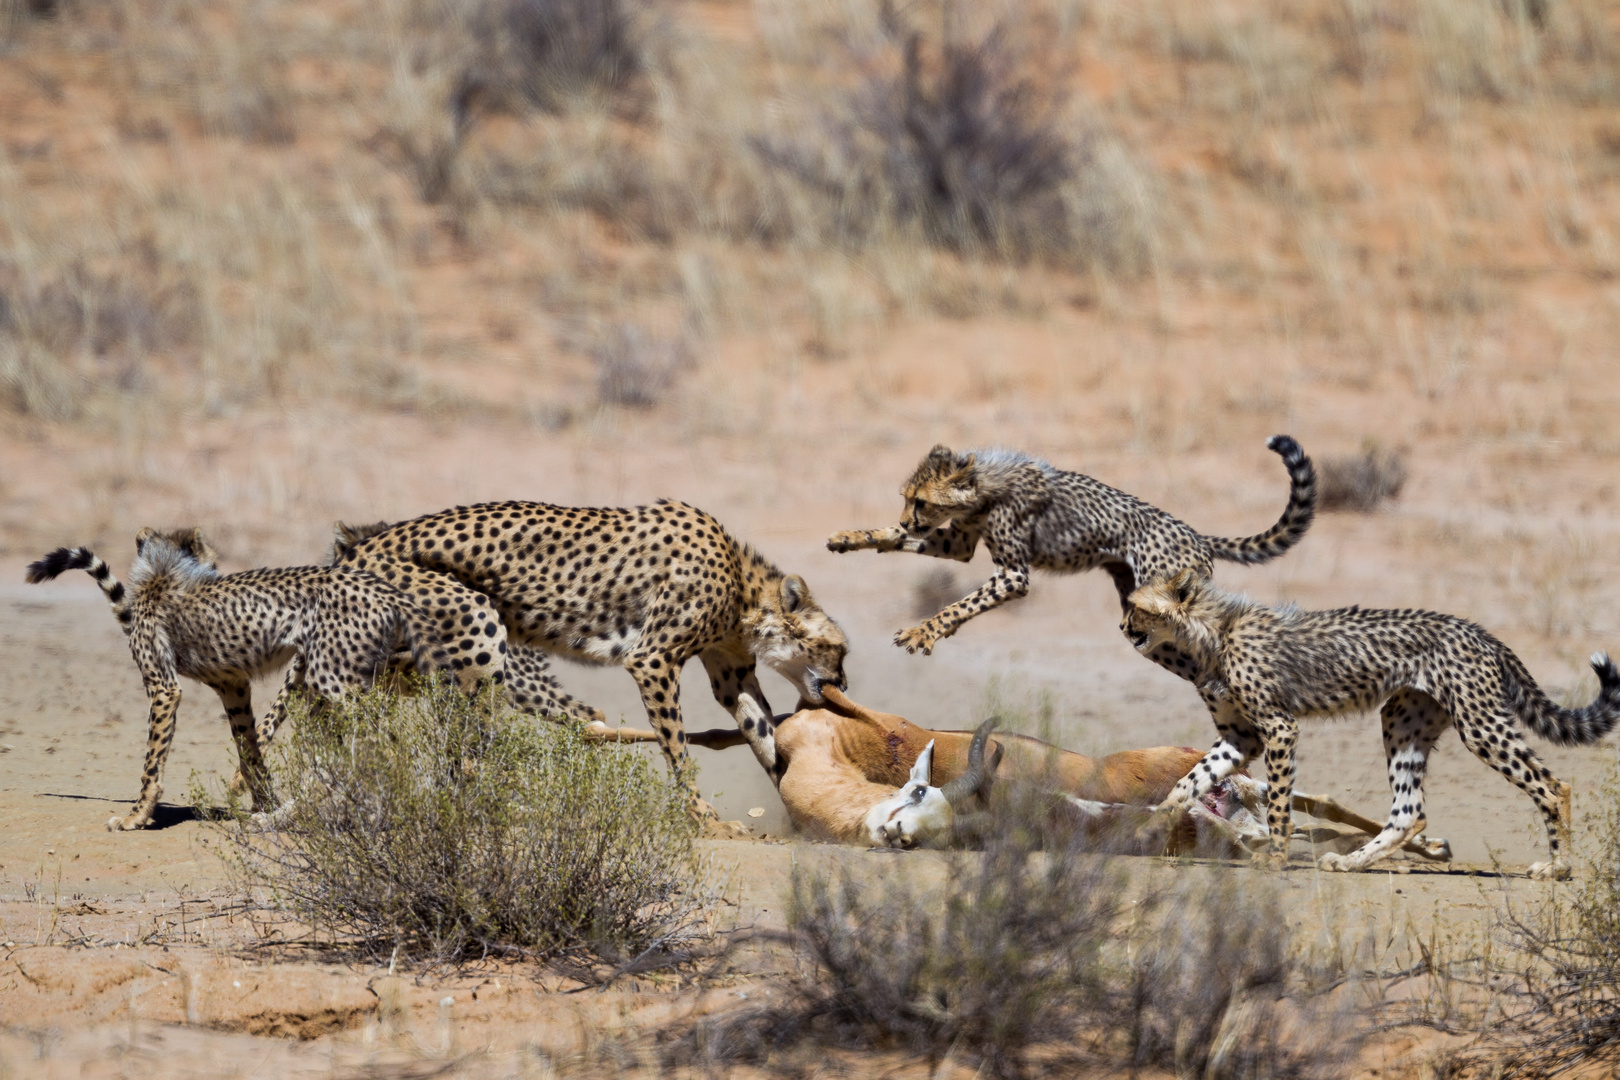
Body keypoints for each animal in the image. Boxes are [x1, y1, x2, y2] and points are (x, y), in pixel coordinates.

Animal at [26, 527, 456, 835]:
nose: (217, 569)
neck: (162, 573)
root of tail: (385, 589)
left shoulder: (165, 687)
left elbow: (152, 762)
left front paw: (135, 816)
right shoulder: (233, 686)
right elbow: (250, 751)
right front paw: (262, 802)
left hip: (332, 683)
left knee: (375, 750)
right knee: (368, 750)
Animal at [335, 498, 855, 809]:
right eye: (840, 650)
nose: (844, 685)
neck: (745, 592)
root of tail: (356, 548)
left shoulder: (732, 676)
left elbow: (764, 737)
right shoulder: (652, 659)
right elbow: (678, 750)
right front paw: (704, 818)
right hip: (478, 632)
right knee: (454, 740)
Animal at [829, 440, 1308, 667]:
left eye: (921, 502)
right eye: (907, 499)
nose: (912, 520)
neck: (985, 485)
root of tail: (1197, 535)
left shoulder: (1013, 575)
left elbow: (958, 605)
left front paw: (922, 632)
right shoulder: (959, 544)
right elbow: (894, 538)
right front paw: (851, 537)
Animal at [1127, 569, 1620, 880]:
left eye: (1138, 608)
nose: (1124, 628)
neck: (1211, 632)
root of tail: (1476, 629)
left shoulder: (1279, 728)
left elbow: (1280, 804)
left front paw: (1277, 858)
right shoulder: (1240, 738)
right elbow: (1186, 784)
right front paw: (1146, 832)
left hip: (1480, 725)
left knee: (1554, 787)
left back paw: (1558, 868)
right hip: (1402, 719)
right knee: (1409, 811)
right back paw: (1351, 863)